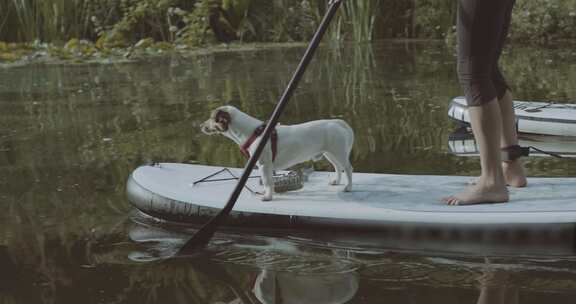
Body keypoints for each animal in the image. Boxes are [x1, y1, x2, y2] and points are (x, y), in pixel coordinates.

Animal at [198, 105, 354, 201]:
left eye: (212, 118)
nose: (200, 125)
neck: (254, 133)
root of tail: (337, 122)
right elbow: (269, 182)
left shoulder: (264, 165)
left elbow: (268, 182)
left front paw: (268, 197)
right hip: (330, 154)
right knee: (338, 167)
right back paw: (337, 181)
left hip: (338, 153)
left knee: (348, 168)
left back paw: (348, 187)